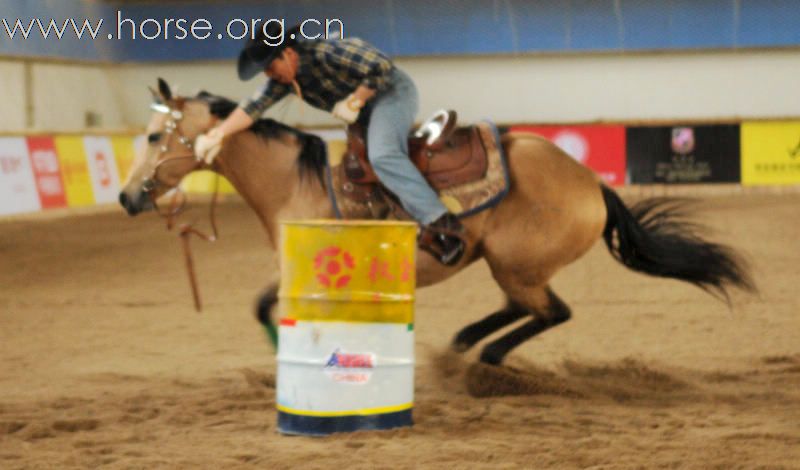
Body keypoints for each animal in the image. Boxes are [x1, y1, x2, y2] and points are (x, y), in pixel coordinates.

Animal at [115, 80, 752, 368]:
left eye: (154, 135)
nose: (125, 196)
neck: (299, 183)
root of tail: (591, 182)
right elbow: (263, 306)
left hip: (517, 265)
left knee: (551, 312)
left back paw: (485, 358)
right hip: (510, 268)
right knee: (528, 309)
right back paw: (466, 344)